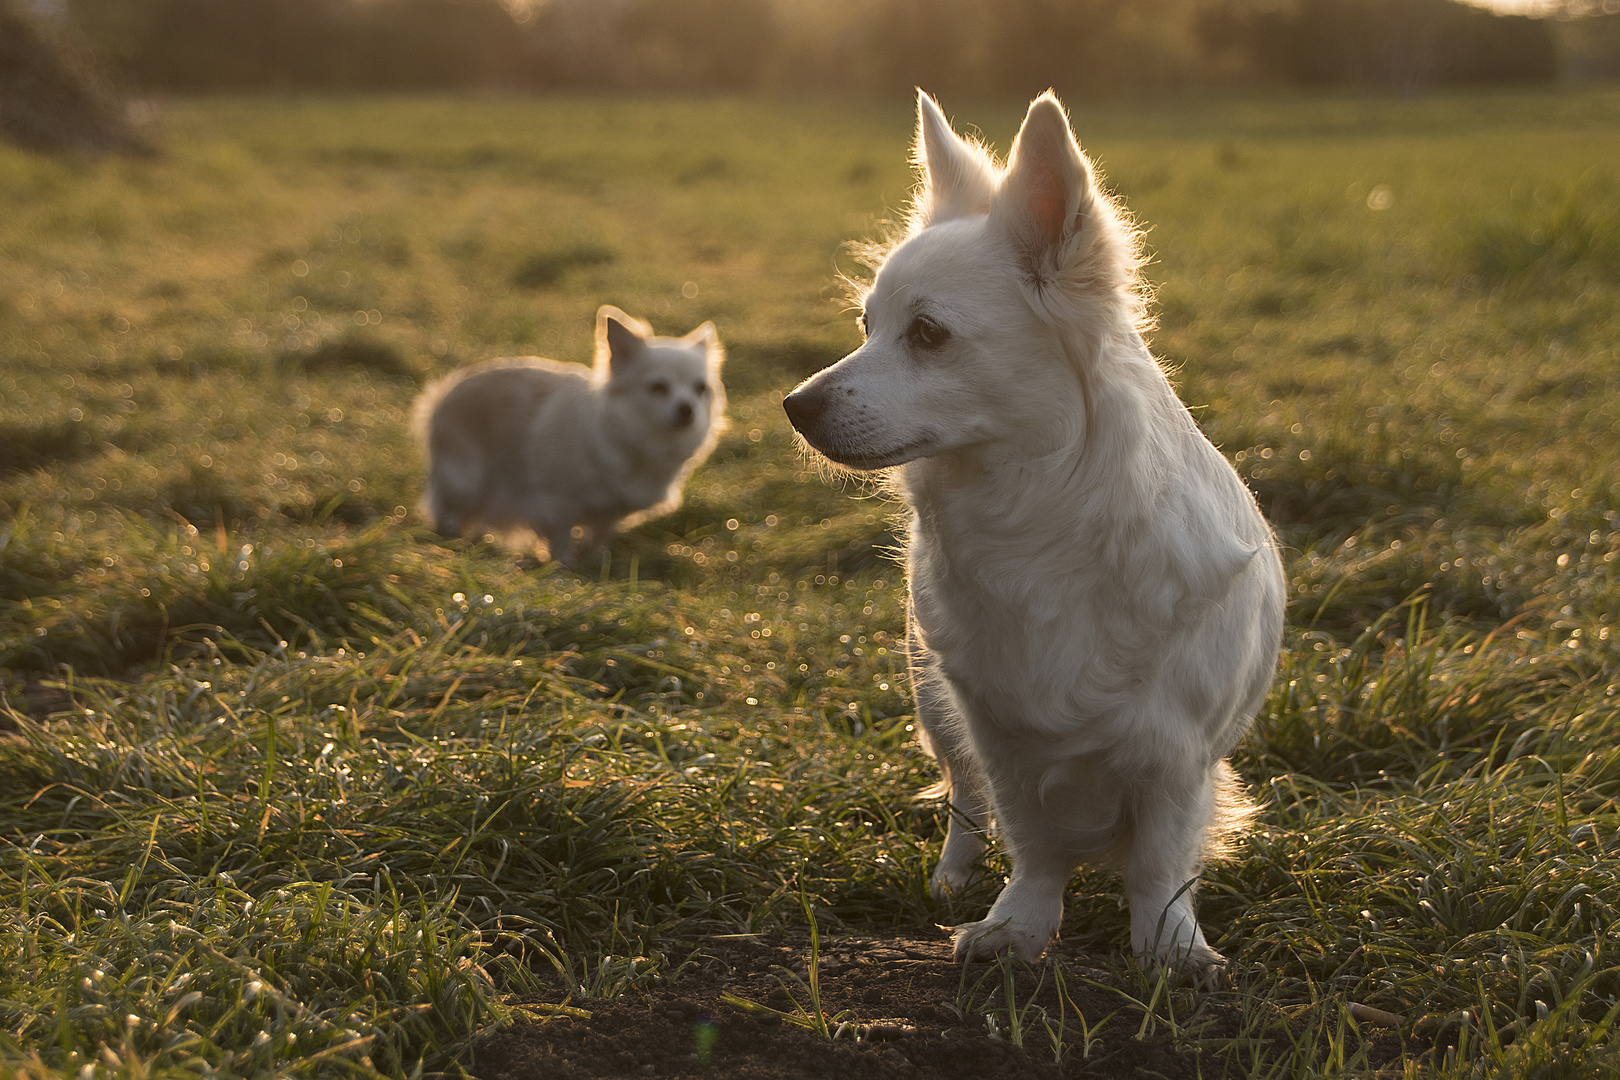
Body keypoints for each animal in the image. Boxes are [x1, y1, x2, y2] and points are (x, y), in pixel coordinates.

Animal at [414, 302, 725, 563]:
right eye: (658, 388)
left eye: (701, 389)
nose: (687, 408)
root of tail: (440, 395)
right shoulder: (555, 504)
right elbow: (561, 538)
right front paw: (564, 566)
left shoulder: (611, 510)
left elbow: (599, 533)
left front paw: (597, 560)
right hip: (466, 481)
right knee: (452, 514)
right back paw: (455, 543)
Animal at [777, 90, 1283, 971]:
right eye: (865, 325)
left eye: (928, 334)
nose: (795, 406)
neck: (1031, 508)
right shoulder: (1000, 730)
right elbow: (1032, 840)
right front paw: (1016, 927)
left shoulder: (1178, 754)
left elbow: (1158, 860)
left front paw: (1169, 948)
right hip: (934, 705)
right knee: (964, 801)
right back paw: (953, 877)